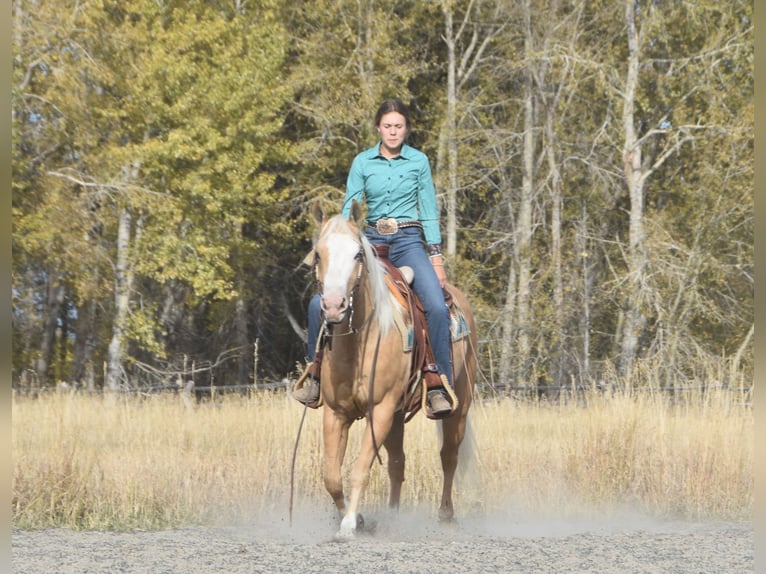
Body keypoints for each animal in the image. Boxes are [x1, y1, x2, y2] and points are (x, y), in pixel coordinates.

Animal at [308, 200, 478, 538]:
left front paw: (349, 524)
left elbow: (360, 469)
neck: (360, 342)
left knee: (448, 457)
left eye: (358, 254)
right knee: (398, 463)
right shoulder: (336, 413)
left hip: (460, 405)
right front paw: (357, 518)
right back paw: (392, 517)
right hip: (397, 416)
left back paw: (446, 516)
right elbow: (331, 475)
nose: (333, 306)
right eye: (318, 254)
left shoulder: (381, 409)